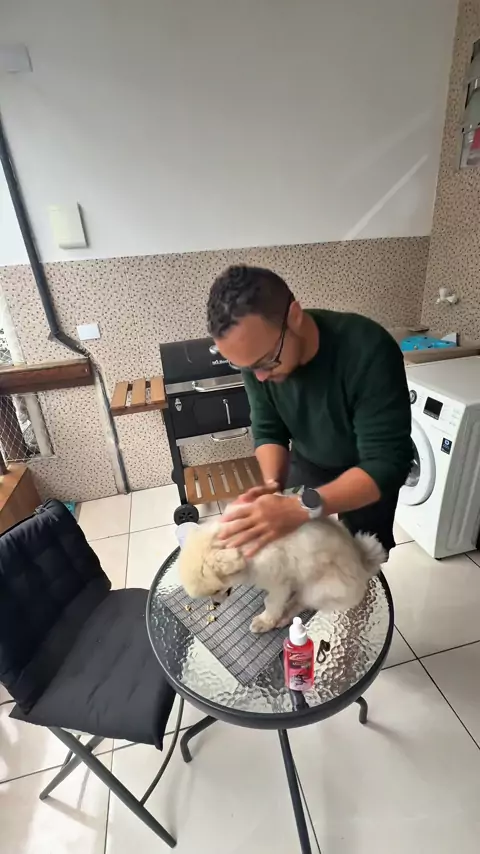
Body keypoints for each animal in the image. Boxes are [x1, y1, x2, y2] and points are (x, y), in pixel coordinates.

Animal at [178, 515, 385, 633]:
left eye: (215, 591)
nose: (215, 604)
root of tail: (363, 563)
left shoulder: (278, 583)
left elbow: (272, 604)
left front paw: (265, 622)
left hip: (317, 588)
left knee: (300, 602)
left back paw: (285, 617)